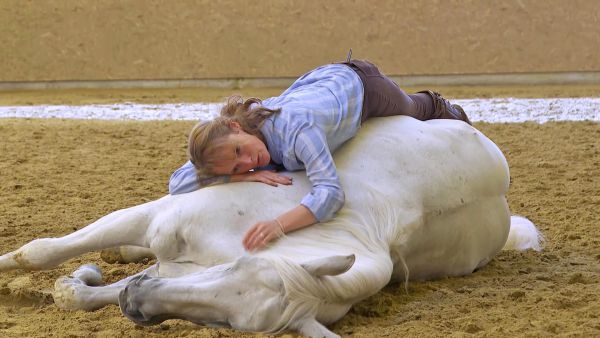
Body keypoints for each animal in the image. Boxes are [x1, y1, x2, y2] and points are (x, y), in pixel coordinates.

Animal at [0, 117, 544, 338]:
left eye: (227, 324)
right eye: (236, 268)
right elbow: (40, 250)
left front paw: (80, 284)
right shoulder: (156, 219)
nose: (139, 305)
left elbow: (83, 292)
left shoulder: (173, 269)